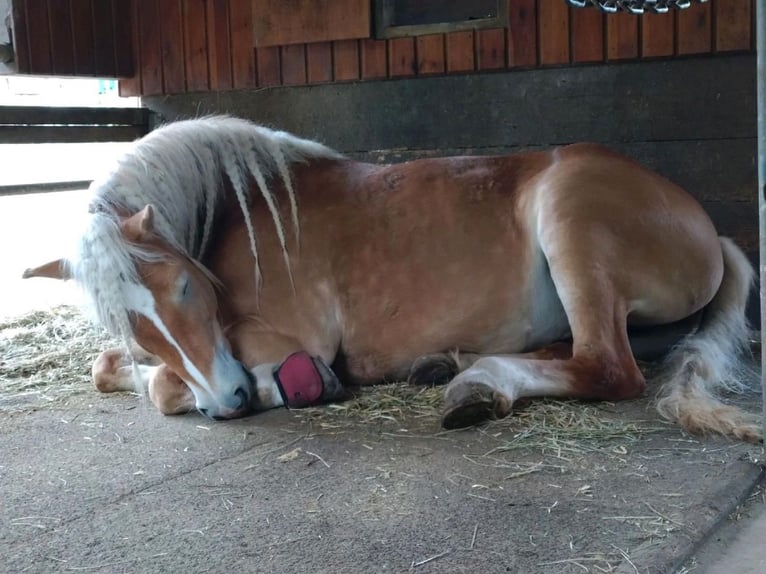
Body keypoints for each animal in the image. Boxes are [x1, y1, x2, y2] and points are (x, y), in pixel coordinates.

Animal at [22, 115, 760, 444]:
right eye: (131, 325)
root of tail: (704, 226)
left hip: (571, 221)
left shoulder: (283, 336)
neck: (247, 210)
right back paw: (452, 367)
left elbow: (169, 389)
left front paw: (294, 384)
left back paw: (476, 384)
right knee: (583, 351)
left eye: (182, 285)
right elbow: (112, 368)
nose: (228, 402)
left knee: (608, 367)